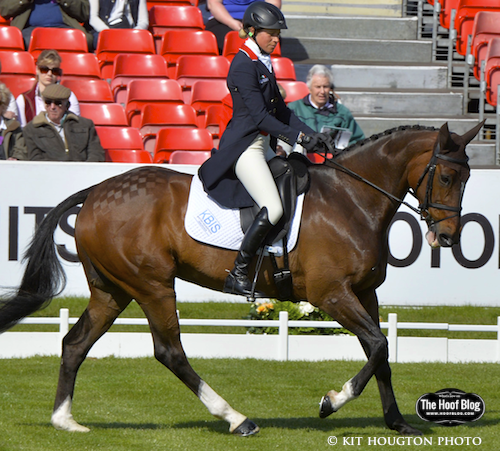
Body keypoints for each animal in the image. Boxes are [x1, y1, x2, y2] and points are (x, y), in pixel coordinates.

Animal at [0, 122, 482, 436]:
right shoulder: (331, 294)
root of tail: (96, 192)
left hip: (112, 289)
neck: (352, 199)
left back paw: (65, 420)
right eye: (447, 175)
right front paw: (331, 402)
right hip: (152, 286)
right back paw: (236, 418)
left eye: (468, 177)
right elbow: (379, 345)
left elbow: (380, 351)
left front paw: (397, 423)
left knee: (75, 343)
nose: (447, 236)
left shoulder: (365, 293)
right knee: (169, 351)